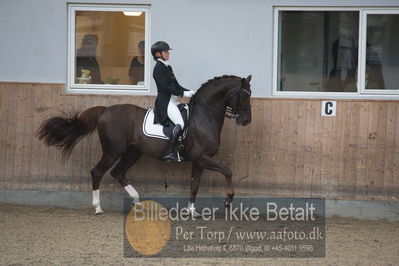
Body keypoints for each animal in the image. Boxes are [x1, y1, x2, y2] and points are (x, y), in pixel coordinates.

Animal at [36, 74, 252, 214]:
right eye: (245, 94)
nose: (246, 121)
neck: (203, 116)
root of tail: (106, 110)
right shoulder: (202, 158)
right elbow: (227, 171)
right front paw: (228, 200)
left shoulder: (199, 161)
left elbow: (194, 185)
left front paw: (192, 211)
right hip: (113, 151)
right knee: (97, 172)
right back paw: (98, 207)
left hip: (133, 153)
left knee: (118, 173)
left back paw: (137, 201)